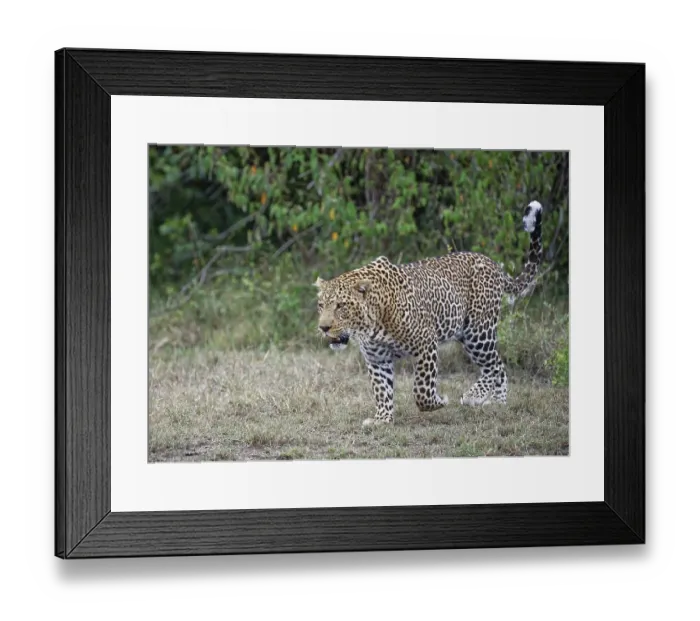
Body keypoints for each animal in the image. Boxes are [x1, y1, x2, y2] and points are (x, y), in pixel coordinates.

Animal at [314, 200, 544, 427]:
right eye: (321, 305)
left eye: (341, 306)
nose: (323, 327)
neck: (371, 322)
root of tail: (494, 265)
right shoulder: (377, 358)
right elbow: (382, 390)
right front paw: (382, 419)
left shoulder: (426, 343)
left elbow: (421, 388)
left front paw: (439, 401)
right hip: (466, 334)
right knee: (497, 366)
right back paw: (494, 401)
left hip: (478, 332)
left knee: (495, 365)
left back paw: (479, 397)